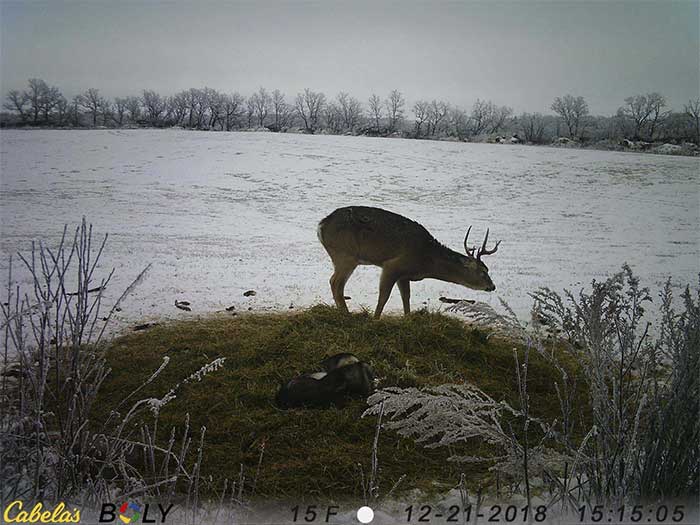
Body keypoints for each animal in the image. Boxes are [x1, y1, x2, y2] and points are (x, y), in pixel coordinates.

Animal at [317, 206, 500, 319]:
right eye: (483, 271)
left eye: (488, 269)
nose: (492, 286)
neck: (425, 260)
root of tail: (321, 224)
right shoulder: (392, 265)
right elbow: (383, 297)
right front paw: (375, 319)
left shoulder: (404, 275)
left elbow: (406, 297)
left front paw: (408, 318)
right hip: (346, 254)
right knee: (336, 283)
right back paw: (346, 315)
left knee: (334, 283)